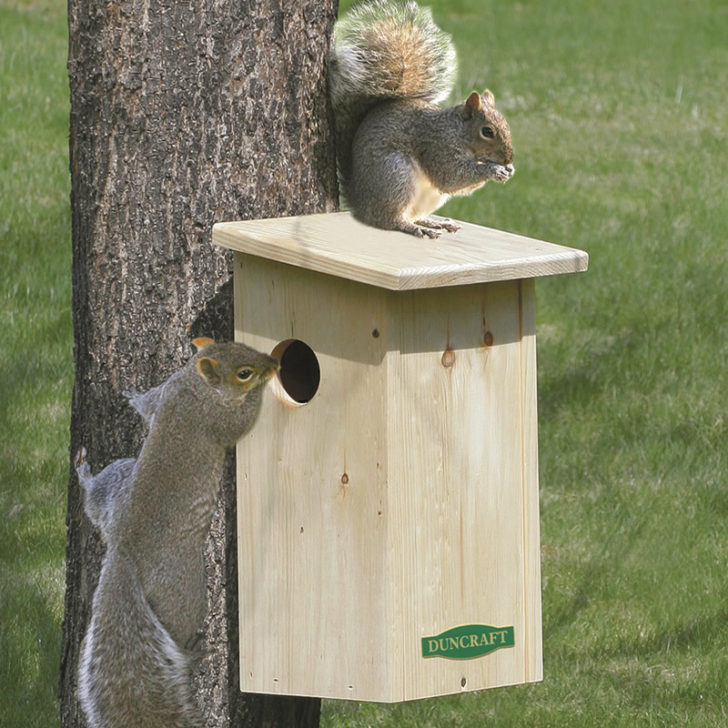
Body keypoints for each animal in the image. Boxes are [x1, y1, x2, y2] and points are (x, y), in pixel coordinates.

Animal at [74, 340, 278, 728]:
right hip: (183, 588)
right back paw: (191, 650)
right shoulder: (218, 420)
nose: (274, 362)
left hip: (118, 481)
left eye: (244, 345)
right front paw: (264, 390)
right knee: (180, 621)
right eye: (244, 372)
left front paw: (132, 396)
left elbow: (148, 407)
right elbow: (241, 422)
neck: (194, 387)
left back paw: (85, 476)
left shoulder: (165, 394)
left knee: (95, 503)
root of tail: (123, 549)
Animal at [330, 0, 512, 237]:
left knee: (413, 214)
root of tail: (359, 201)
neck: (455, 131)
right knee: (387, 219)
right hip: (395, 176)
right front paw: (493, 169)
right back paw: (413, 227)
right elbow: (451, 177)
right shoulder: (437, 147)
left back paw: (433, 223)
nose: (508, 159)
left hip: (426, 195)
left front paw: (508, 169)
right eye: (487, 131)